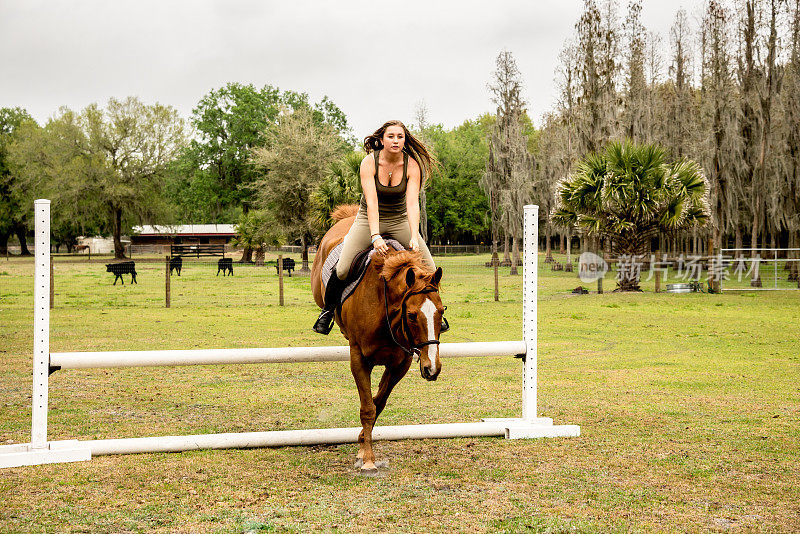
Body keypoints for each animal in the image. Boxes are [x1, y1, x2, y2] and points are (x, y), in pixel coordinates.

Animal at [310, 205, 446, 474]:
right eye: (412, 315)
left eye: (441, 311)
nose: (432, 368)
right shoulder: (359, 359)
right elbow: (367, 408)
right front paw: (368, 460)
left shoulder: (400, 363)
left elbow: (378, 403)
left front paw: (363, 443)